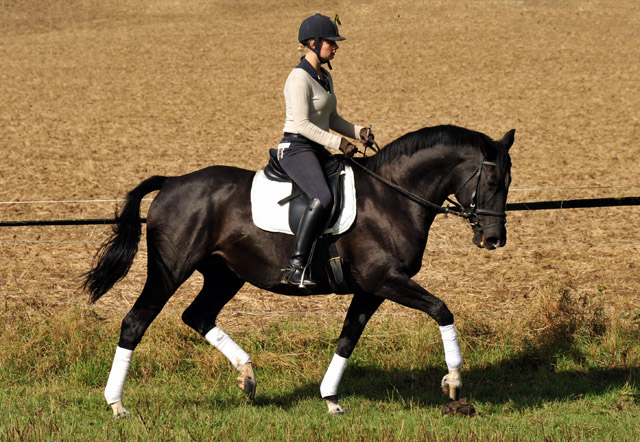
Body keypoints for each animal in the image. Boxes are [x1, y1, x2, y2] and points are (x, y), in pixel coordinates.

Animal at [85, 124, 516, 418]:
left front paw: (331, 399)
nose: (495, 239)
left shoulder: (371, 289)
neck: (392, 196)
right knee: (135, 322)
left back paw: (247, 375)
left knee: (198, 315)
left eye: (509, 181)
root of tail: (172, 183)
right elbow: (442, 310)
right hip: (171, 269)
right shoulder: (385, 280)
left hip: (225, 274)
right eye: (493, 179)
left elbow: (348, 339)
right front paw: (454, 383)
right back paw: (117, 405)